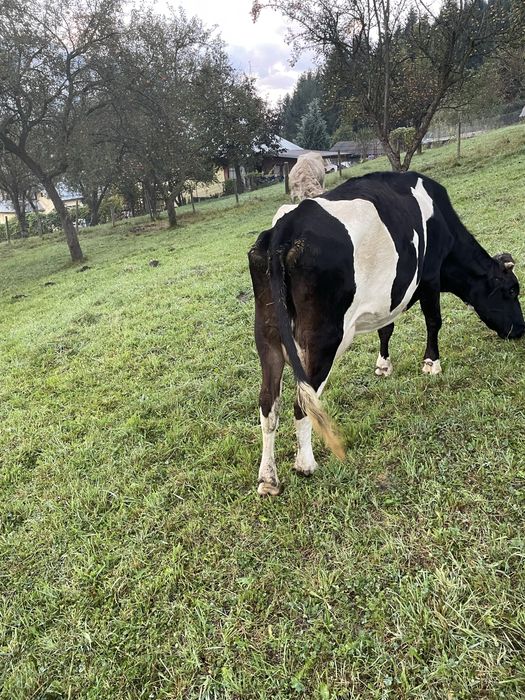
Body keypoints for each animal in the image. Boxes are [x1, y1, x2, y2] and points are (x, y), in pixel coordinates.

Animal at [248, 171, 524, 496]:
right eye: (511, 290)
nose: (521, 329)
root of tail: (285, 229)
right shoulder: (430, 277)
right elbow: (434, 320)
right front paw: (431, 363)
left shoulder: (387, 297)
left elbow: (386, 328)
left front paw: (383, 366)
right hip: (324, 338)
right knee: (303, 401)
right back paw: (306, 465)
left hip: (267, 335)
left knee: (268, 402)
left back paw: (268, 479)